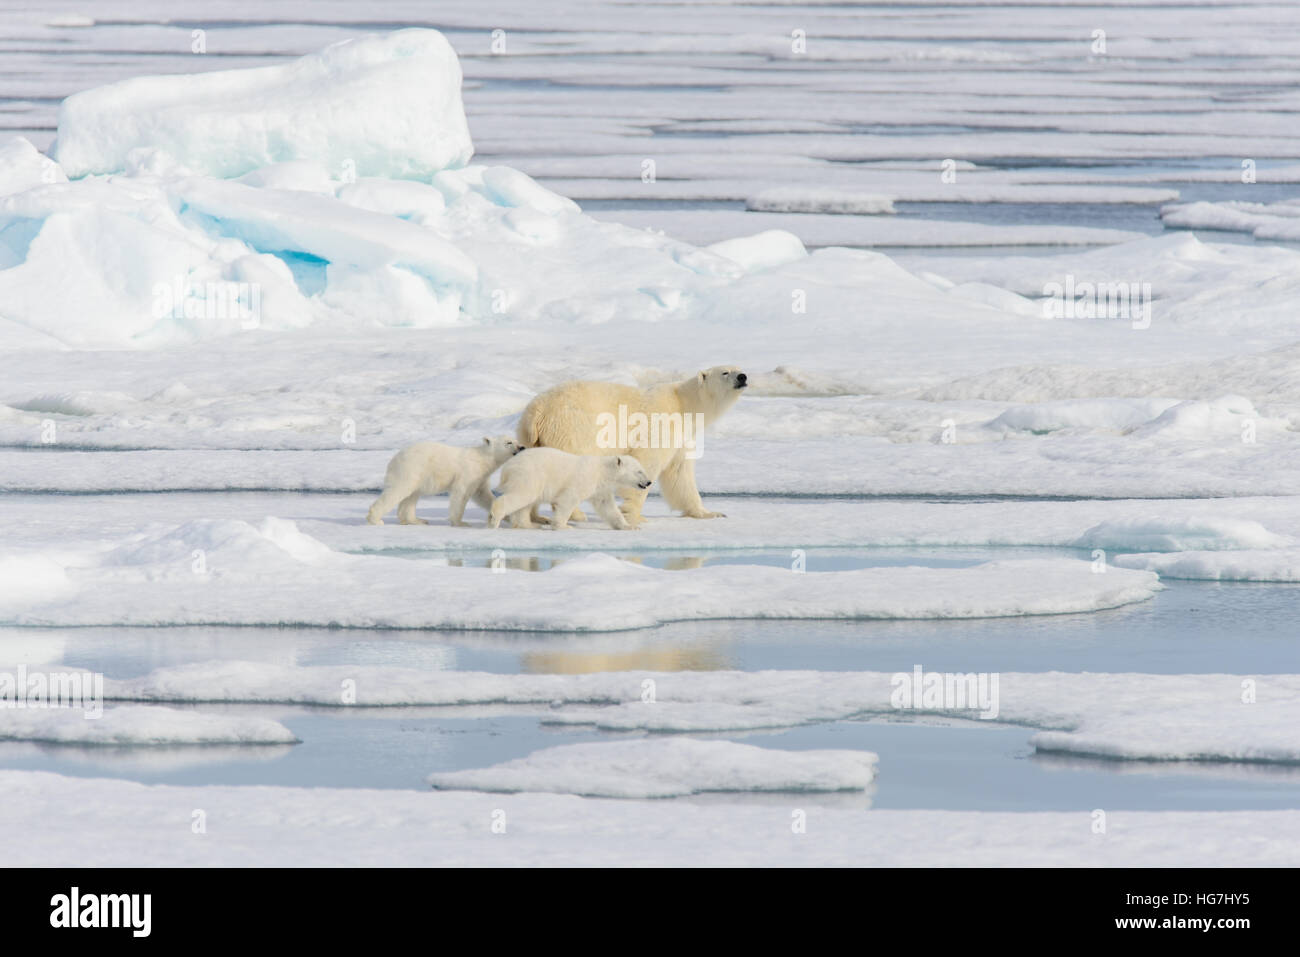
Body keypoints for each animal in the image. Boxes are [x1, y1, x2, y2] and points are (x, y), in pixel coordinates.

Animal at [366, 435, 523, 526]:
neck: (482, 459)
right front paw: (460, 522)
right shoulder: (468, 472)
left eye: (516, 440)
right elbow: (461, 494)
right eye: (509, 442)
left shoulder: (480, 477)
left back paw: (416, 520)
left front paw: (505, 515)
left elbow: (483, 496)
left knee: (411, 495)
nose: (521, 447)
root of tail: (395, 458)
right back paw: (376, 519)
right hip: (411, 469)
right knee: (398, 490)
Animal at [488, 448, 652, 531]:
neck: (601, 471)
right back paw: (495, 518)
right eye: (639, 471)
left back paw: (529, 525)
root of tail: (507, 467)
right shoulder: (583, 480)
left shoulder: (600, 489)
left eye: (643, 469)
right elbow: (568, 499)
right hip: (529, 475)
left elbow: (607, 506)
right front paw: (563, 526)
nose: (649, 482)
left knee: (524, 504)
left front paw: (629, 526)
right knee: (522, 496)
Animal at [516, 364, 747, 527]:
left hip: (533, 437)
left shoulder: (682, 437)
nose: (743, 377)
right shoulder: (660, 425)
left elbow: (680, 474)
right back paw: (577, 514)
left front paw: (710, 513)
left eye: (739, 368)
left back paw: (537, 516)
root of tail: (536, 411)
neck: (683, 405)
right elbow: (649, 461)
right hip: (572, 427)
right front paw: (634, 515)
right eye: (725, 372)